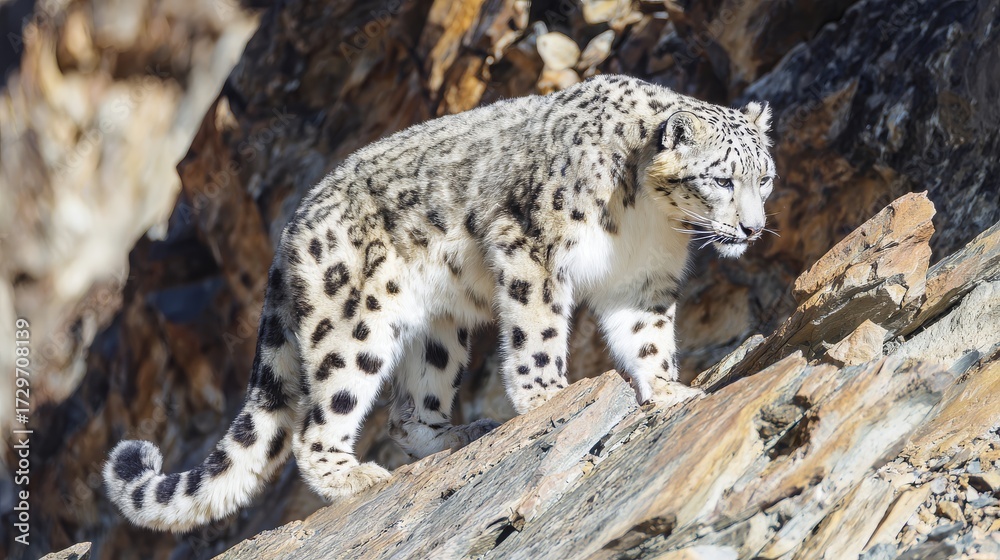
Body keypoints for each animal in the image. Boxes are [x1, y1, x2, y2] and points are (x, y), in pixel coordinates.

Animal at [104, 74, 775, 531]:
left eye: (763, 177)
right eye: (720, 178)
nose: (752, 229)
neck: (649, 221)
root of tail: (294, 223)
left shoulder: (642, 281)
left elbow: (647, 339)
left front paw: (669, 391)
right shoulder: (529, 245)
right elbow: (537, 330)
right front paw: (547, 397)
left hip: (438, 330)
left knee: (408, 411)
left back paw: (457, 437)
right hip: (354, 326)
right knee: (319, 422)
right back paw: (354, 475)